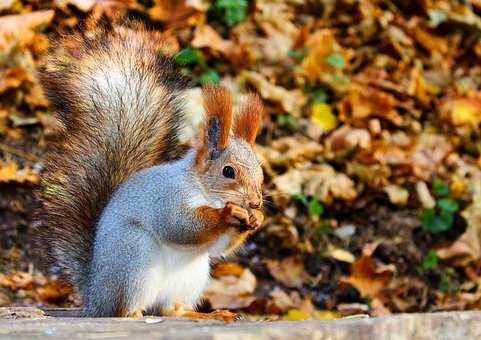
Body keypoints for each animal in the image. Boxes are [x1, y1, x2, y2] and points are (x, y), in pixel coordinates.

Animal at [38, 26, 264, 318]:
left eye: (260, 170)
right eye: (228, 171)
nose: (256, 202)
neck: (204, 191)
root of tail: (95, 297)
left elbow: (218, 247)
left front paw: (256, 219)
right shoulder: (165, 198)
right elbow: (179, 225)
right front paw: (227, 214)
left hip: (192, 275)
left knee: (171, 310)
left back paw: (205, 313)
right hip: (134, 257)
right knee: (123, 310)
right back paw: (133, 313)